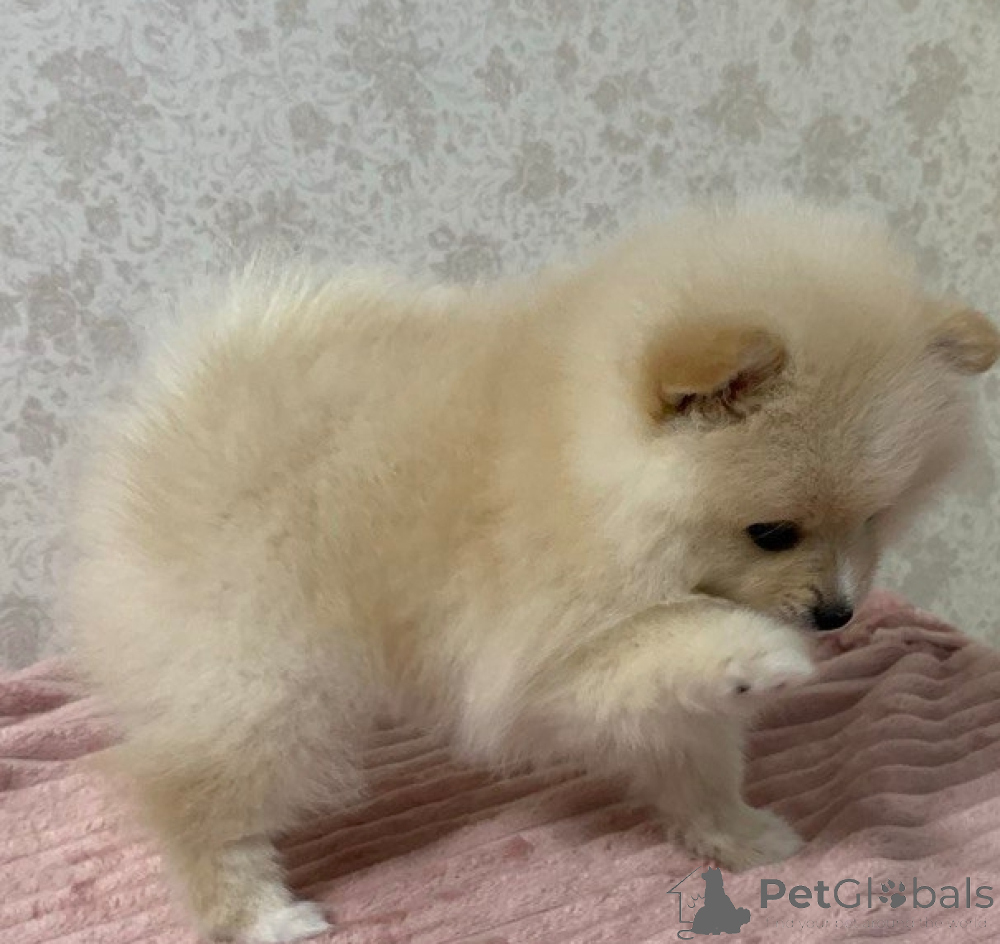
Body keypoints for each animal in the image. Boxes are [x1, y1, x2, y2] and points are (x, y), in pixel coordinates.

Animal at [71, 200, 999, 942]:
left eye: (875, 518)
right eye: (771, 533)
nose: (837, 613)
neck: (592, 470)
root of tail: (189, 399)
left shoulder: (645, 686)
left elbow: (694, 750)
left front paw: (733, 834)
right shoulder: (544, 662)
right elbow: (671, 640)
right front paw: (763, 655)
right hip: (271, 671)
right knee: (190, 794)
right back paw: (258, 915)